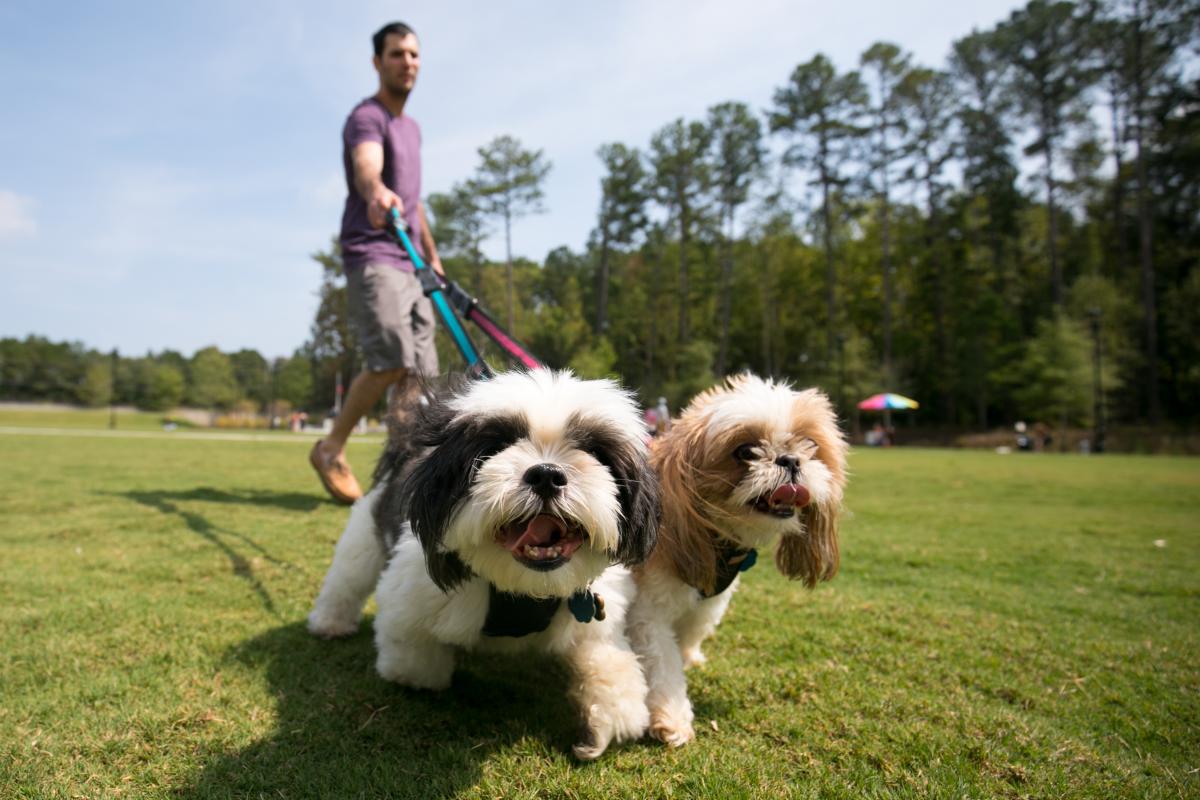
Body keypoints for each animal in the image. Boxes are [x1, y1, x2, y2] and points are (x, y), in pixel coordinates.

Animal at [304, 371, 662, 762]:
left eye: (595, 451)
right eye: (495, 446)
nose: (547, 474)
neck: (523, 588)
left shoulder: (595, 618)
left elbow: (611, 668)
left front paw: (602, 723)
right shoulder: (410, 601)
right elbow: (412, 660)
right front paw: (421, 677)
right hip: (363, 540)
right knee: (347, 581)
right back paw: (330, 623)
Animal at [628, 371, 844, 748]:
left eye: (809, 445)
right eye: (745, 451)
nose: (790, 460)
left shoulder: (709, 600)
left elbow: (692, 630)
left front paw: (690, 657)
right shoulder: (648, 612)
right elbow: (661, 664)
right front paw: (672, 718)